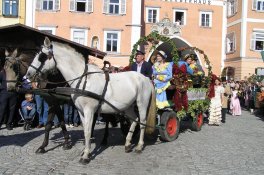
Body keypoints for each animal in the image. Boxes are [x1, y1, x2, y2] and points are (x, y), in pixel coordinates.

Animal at [25, 37, 156, 164]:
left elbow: (88, 131)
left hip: (142, 104)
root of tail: (146, 78)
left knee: (142, 122)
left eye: (42, 56)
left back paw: (139, 146)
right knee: (135, 119)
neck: (83, 80)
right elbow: (84, 130)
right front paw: (84, 151)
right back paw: (128, 144)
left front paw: (86, 156)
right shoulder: (80, 111)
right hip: (128, 106)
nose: (28, 74)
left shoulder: (89, 110)